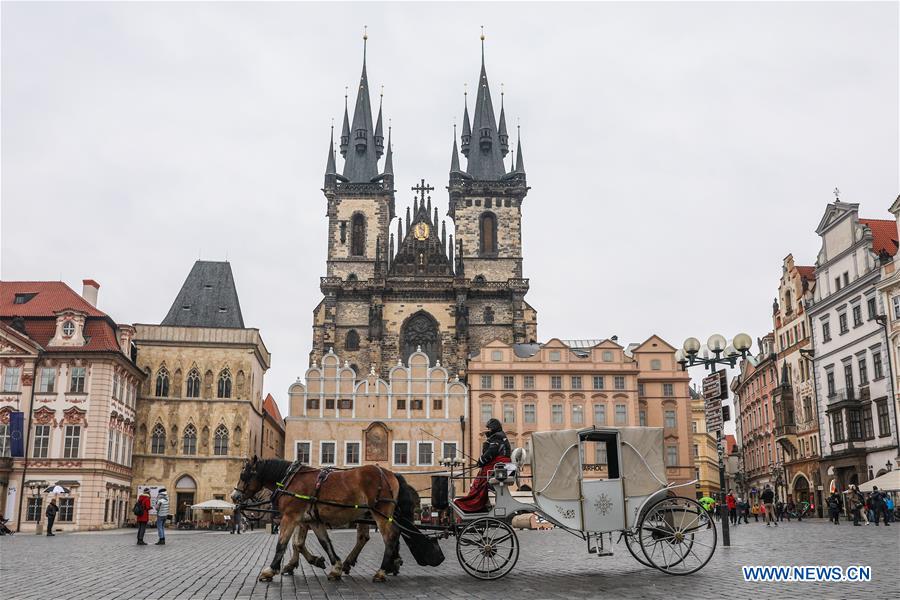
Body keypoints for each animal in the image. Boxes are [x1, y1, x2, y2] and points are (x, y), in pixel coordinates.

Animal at [230, 460, 416, 580]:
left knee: (390, 538)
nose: (234, 496)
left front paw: (270, 570)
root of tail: (391, 474)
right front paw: (334, 567)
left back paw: (382, 571)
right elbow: (323, 542)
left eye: (244, 475)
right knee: (378, 536)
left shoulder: (291, 516)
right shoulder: (313, 520)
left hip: (380, 513)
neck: (291, 479)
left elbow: (282, 544)